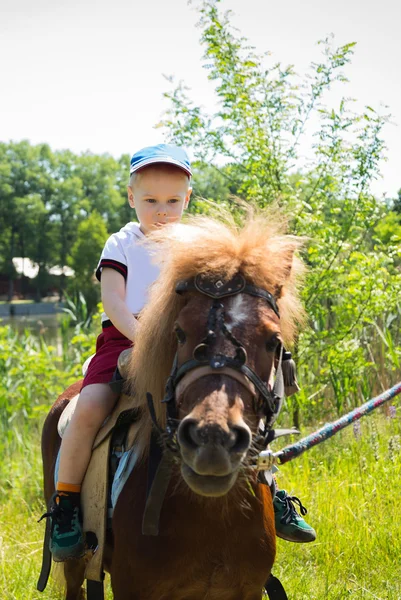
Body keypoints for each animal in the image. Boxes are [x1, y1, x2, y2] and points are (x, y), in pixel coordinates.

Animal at [40, 209, 304, 596]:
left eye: (273, 341)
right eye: (178, 333)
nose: (213, 441)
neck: (210, 513)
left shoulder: (247, 590)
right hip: (74, 564)